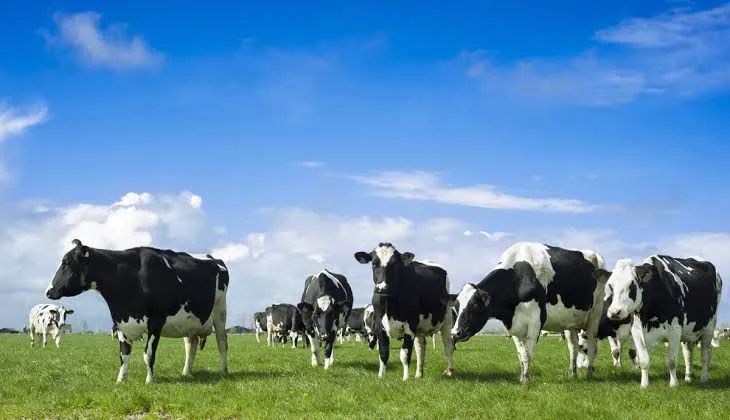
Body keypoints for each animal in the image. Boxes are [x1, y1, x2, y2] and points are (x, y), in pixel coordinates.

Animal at [45, 239, 229, 384]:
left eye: (67, 262)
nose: (48, 291)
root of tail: (213, 258)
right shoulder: (121, 323)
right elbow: (124, 354)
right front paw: (120, 380)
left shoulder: (156, 321)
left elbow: (148, 354)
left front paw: (149, 380)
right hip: (189, 321)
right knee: (191, 345)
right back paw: (185, 372)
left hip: (220, 310)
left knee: (222, 342)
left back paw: (224, 371)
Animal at [355, 243, 455, 380]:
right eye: (374, 264)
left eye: (394, 264)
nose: (382, 288)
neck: (389, 306)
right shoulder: (379, 326)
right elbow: (383, 352)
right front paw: (381, 376)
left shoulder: (410, 325)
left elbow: (405, 354)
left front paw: (406, 378)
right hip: (420, 327)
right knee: (420, 347)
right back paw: (418, 374)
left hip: (447, 319)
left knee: (448, 346)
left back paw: (449, 371)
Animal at [451, 242, 607, 384]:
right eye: (456, 307)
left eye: (475, 306)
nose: (455, 333)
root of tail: (595, 255)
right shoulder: (514, 326)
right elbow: (521, 355)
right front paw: (521, 377)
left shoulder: (535, 322)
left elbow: (528, 355)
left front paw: (526, 380)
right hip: (570, 323)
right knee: (573, 347)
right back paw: (572, 374)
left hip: (595, 313)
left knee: (592, 345)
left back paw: (589, 374)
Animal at [601, 256, 722, 387]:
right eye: (610, 286)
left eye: (632, 285)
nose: (614, 312)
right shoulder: (636, 332)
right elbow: (643, 360)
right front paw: (644, 385)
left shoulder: (675, 331)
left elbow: (671, 361)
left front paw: (673, 384)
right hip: (689, 331)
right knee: (688, 353)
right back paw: (688, 378)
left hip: (709, 328)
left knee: (705, 354)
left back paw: (704, 378)